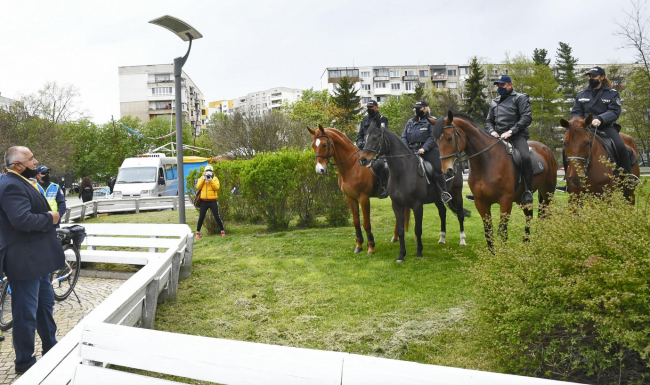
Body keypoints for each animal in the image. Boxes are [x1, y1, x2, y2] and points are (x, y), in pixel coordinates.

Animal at [306, 124, 408, 254]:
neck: (352, 166)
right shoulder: (350, 198)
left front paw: (371, 246)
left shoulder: (363, 198)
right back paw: (395, 237)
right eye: (313, 145)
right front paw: (359, 246)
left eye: (324, 144)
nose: (320, 170)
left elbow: (366, 223)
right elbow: (356, 222)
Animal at [432, 111, 556, 249]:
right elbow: (488, 233)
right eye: (436, 141)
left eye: (449, 138)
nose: (446, 170)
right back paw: (526, 244)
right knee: (529, 216)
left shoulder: (505, 201)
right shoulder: (481, 202)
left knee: (545, 214)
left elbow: (502, 232)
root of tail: (546, 149)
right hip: (521, 199)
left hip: (547, 193)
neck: (486, 163)